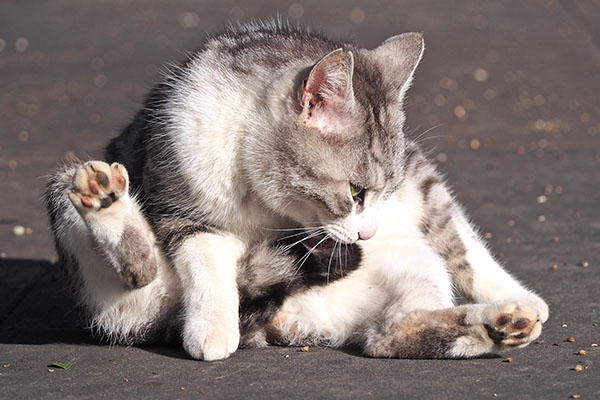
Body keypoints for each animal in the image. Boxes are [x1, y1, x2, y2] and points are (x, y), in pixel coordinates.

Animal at [43, 20, 548, 360]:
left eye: (384, 192)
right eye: (354, 191)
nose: (367, 235)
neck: (265, 202)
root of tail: (286, 322)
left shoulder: (416, 173)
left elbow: (458, 237)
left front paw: (516, 295)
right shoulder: (180, 203)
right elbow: (205, 258)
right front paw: (212, 326)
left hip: (413, 264)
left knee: (390, 334)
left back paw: (500, 322)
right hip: (82, 224)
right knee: (140, 270)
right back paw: (104, 200)